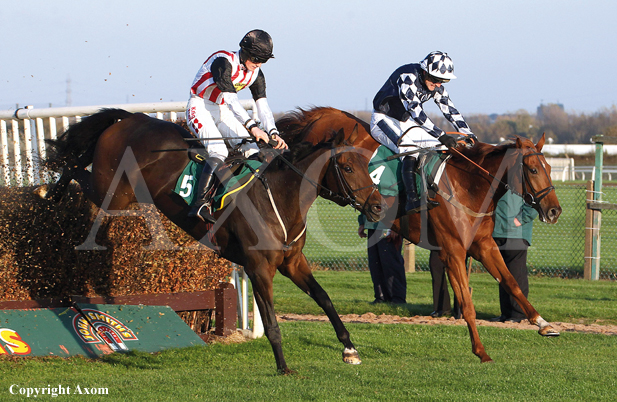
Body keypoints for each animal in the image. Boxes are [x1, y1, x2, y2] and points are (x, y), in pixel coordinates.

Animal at [42, 109, 384, 374]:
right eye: (348, 167)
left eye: (366, 165)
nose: (379, 207)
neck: (277, 199)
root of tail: (130, 118)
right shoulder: (259, 269)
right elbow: (271, 322)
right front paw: (283, 366)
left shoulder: (292, 263)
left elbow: (324, 298)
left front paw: (349, 349)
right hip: (112, 191)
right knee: (77, 169)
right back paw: (47, 191)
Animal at [280, 107, 564, 364]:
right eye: (533, 170)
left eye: (550, 167)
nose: (554, 210)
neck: (467, 185)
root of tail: (324, 114)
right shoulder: (453, 252)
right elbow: (467, 304)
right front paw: (481, 351)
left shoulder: (483, 245)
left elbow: (512, 283)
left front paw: (543, 323)